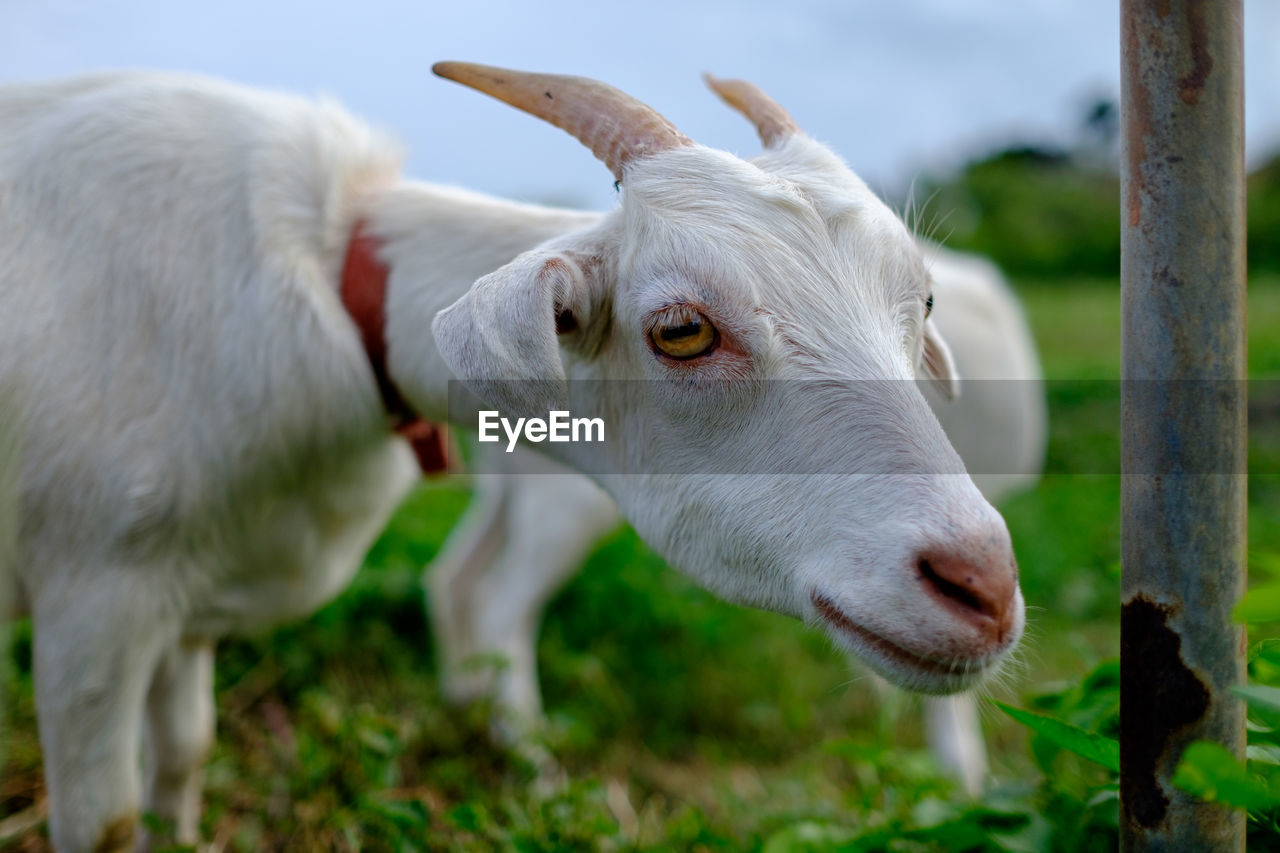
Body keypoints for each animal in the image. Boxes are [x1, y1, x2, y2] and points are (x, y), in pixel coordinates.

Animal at [430, 240, 1049, 788]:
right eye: (682, 330)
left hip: (509, 477)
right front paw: (963, 775)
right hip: (563, 495)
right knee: (502, 602)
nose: (991, 598)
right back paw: (536, 768)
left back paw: (465, 700)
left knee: (454, 575)